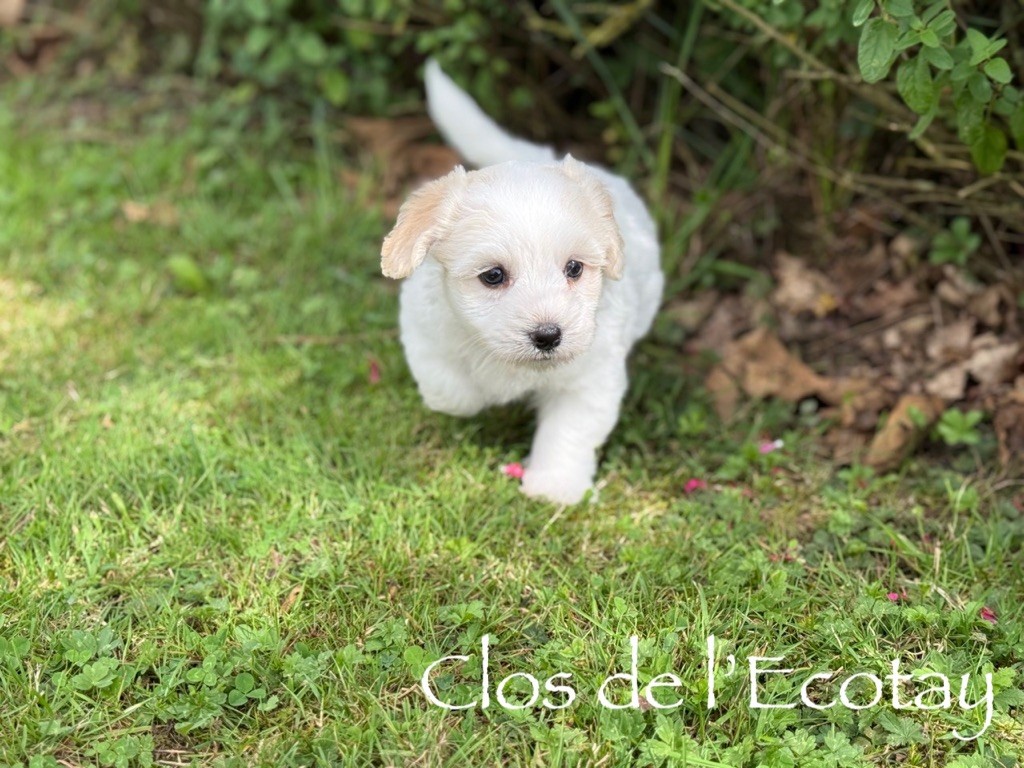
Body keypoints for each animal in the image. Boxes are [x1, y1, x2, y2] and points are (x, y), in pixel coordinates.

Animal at [380, 60, 663, 504]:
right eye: (493, 276)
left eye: (574, 269)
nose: (548, 335)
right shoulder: (424, 334)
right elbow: (452, 391)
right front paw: (481, 396)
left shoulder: (589, 382)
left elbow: (567, 434)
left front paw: (554, 487)